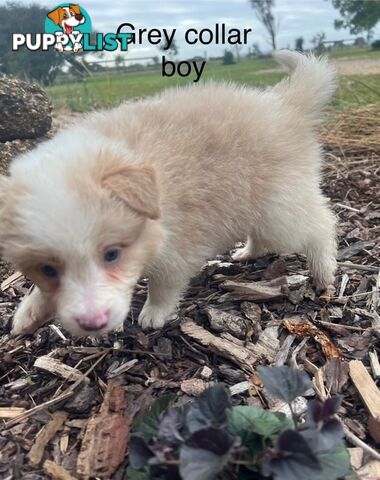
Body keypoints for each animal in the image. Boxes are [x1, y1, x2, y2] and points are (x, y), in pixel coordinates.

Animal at [0, 51, 336, 338]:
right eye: (48, 269)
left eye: (112, 254)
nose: (93, 323)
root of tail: (283, 104)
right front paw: (29, 313)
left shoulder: (177, 247)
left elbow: (164, 284)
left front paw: (154, 313)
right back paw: (247, 252)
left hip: (280, 209)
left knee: (321, 224)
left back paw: (323, 273)